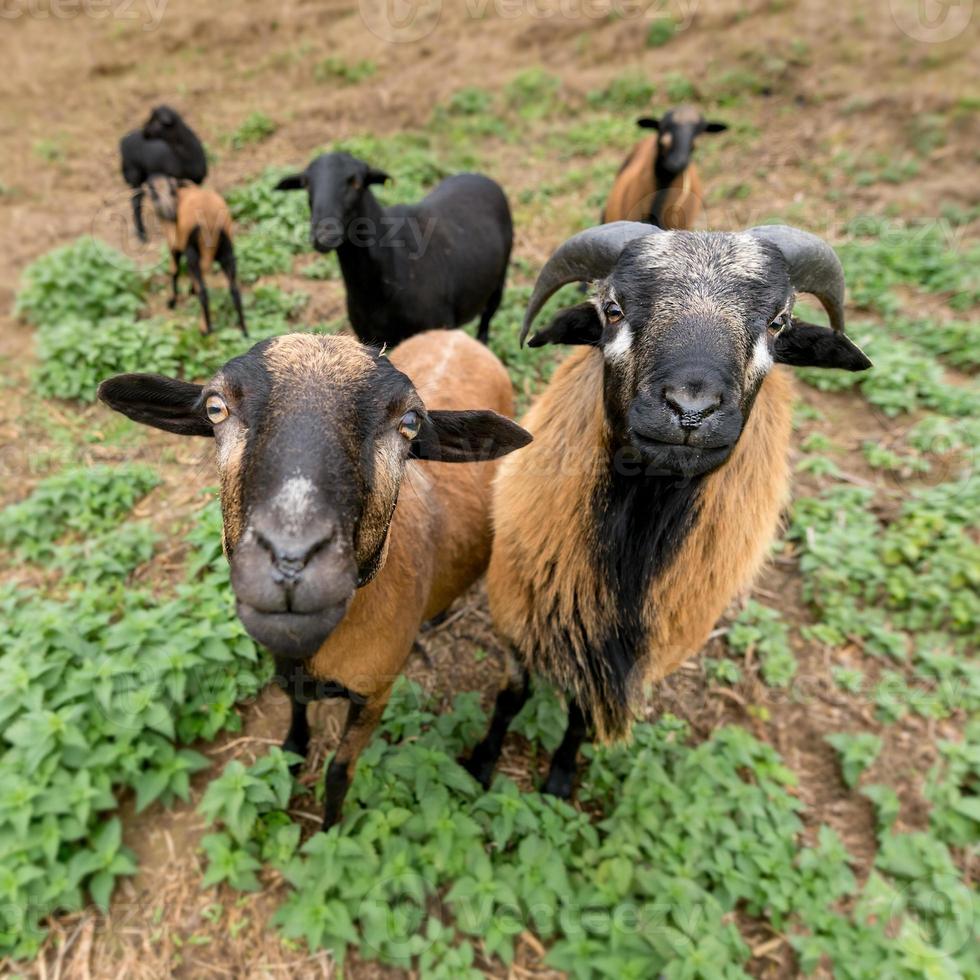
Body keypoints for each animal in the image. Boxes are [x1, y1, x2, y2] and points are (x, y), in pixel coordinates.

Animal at [97, 330, 528, 828]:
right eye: (215, 407)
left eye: (411, 423)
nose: (290, 560)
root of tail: (459, 336)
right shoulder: (286, 664)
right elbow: (295, 708)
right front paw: (293, 750)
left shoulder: (376, 694)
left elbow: (339, 774)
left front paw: (331, 830)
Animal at [462, 220, 872, 796]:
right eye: (612, 309)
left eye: (778, 323)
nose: (691, 409)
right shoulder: (521, 612)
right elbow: (510, 697)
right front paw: (480, 766)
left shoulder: (632, 654)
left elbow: (581, 717)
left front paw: (560, 780)